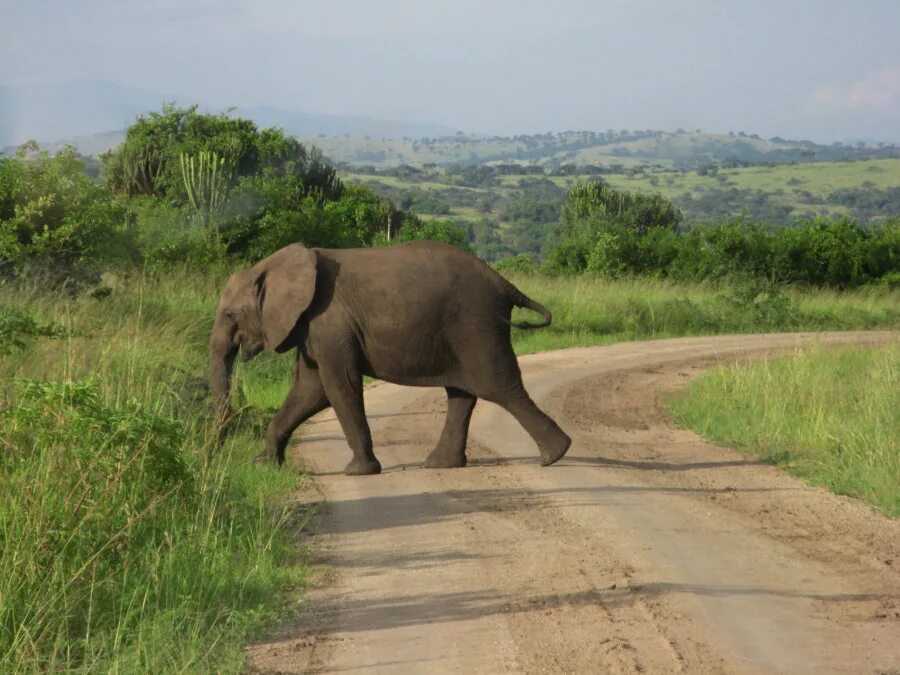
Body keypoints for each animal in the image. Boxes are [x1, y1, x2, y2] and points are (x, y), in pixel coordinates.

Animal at [211, 242, 568, 476]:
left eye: (230, 315)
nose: (217, 451)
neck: (270, 265)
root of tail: (503, 282)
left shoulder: (329, 322)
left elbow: (338, 388)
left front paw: (358, 472)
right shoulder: (310, 328)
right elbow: (308, 391)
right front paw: (264, 465)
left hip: (475, 322)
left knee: (498, 385)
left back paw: (554, 455)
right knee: (463, 392)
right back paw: (440, 464)